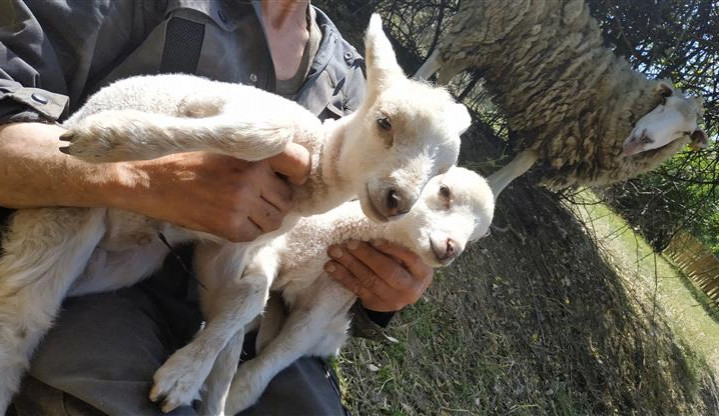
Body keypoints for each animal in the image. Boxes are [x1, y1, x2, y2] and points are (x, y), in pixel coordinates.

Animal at [211, 166, 496, 412]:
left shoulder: (327, 302)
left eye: (475, 235)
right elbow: (254, 290)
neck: (326, 242)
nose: (451, 248)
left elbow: (286, 348)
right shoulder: (275, 249)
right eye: (444, 191)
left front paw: (235, 395)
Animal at [416, 0, 708, 197]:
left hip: (485, 42)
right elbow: (521, 166)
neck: (615, 98)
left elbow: (520, 167)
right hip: (483, 26)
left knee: (446, 73)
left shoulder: (559, 132)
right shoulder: (561, 125)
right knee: (438, 59)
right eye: (664, 101)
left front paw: (492, 188)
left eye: (685, 133)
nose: (643, 138)